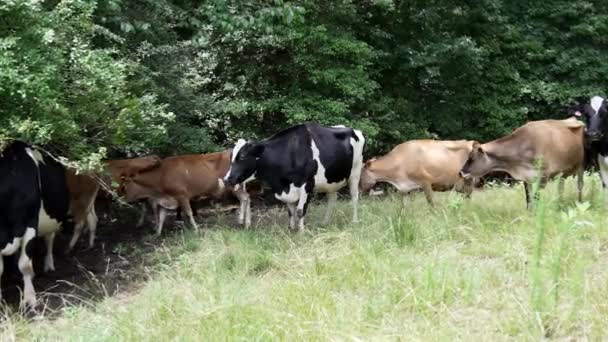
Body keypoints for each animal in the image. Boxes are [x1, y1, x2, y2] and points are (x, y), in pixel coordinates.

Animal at [0, 141, 69, 308]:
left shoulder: (30, 224)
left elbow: (25, 264)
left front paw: (30, 299)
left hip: (51, 223)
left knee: (49, 240)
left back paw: (49, 265)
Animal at [120, 150, 251, 235]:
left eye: (124, 187)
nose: (124, 200)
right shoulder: (167, 199)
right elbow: (162, 217)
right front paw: (157, 233)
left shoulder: (181, 195)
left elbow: (188, 213)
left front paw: (196, 229)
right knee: (246, 198)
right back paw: (244, 222)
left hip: (234, 185)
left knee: (245, 198)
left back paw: (244, 222)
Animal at [223, 121, 366, 231]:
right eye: (231, 157)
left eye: (242, 156)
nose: (226, 179)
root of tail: (354, 130)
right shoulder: (287, 188)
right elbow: (291, 212)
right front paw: (291, 229)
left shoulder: (307, 185)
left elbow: (300, 211)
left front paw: (301, 232)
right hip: (331, 180)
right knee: (332, 199)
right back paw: (325, 222)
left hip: (355, 172)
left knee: (354, 197)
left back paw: (354, 221)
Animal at [458, 119, 588, 207]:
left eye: (472, 157)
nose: (461, 172)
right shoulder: (527, 178)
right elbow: (529, 199)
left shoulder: (543, 176)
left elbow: (536, 197)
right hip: (562, 172)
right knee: (561, 186)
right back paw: (559, 204)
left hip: (581, 164)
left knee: (580, 184)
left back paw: (579, 202)